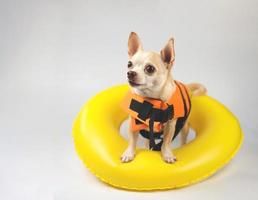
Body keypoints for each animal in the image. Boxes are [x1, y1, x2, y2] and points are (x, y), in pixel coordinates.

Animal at [121, 32, 208, 164]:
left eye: (150, 69)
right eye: (129, 64)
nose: (130, 73)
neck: (150, 101)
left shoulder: (171, 125)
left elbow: (166, 142)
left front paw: (167, 155)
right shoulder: (134, 123)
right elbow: (132, 140)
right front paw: (128, 153)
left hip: (184, 126)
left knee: (183, 136)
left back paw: (183, 146)